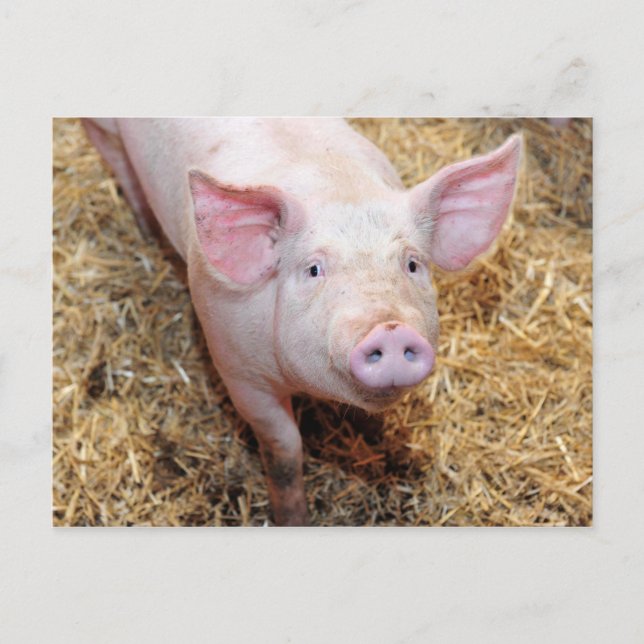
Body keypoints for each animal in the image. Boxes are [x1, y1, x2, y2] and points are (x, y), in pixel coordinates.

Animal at [82, 118, 521, 526]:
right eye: (313, 269)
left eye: (412, 264)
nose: (390, 329)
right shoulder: (239, 372)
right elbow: (283, 449)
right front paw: (293, 518)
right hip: (105, 129)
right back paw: (145, 227)